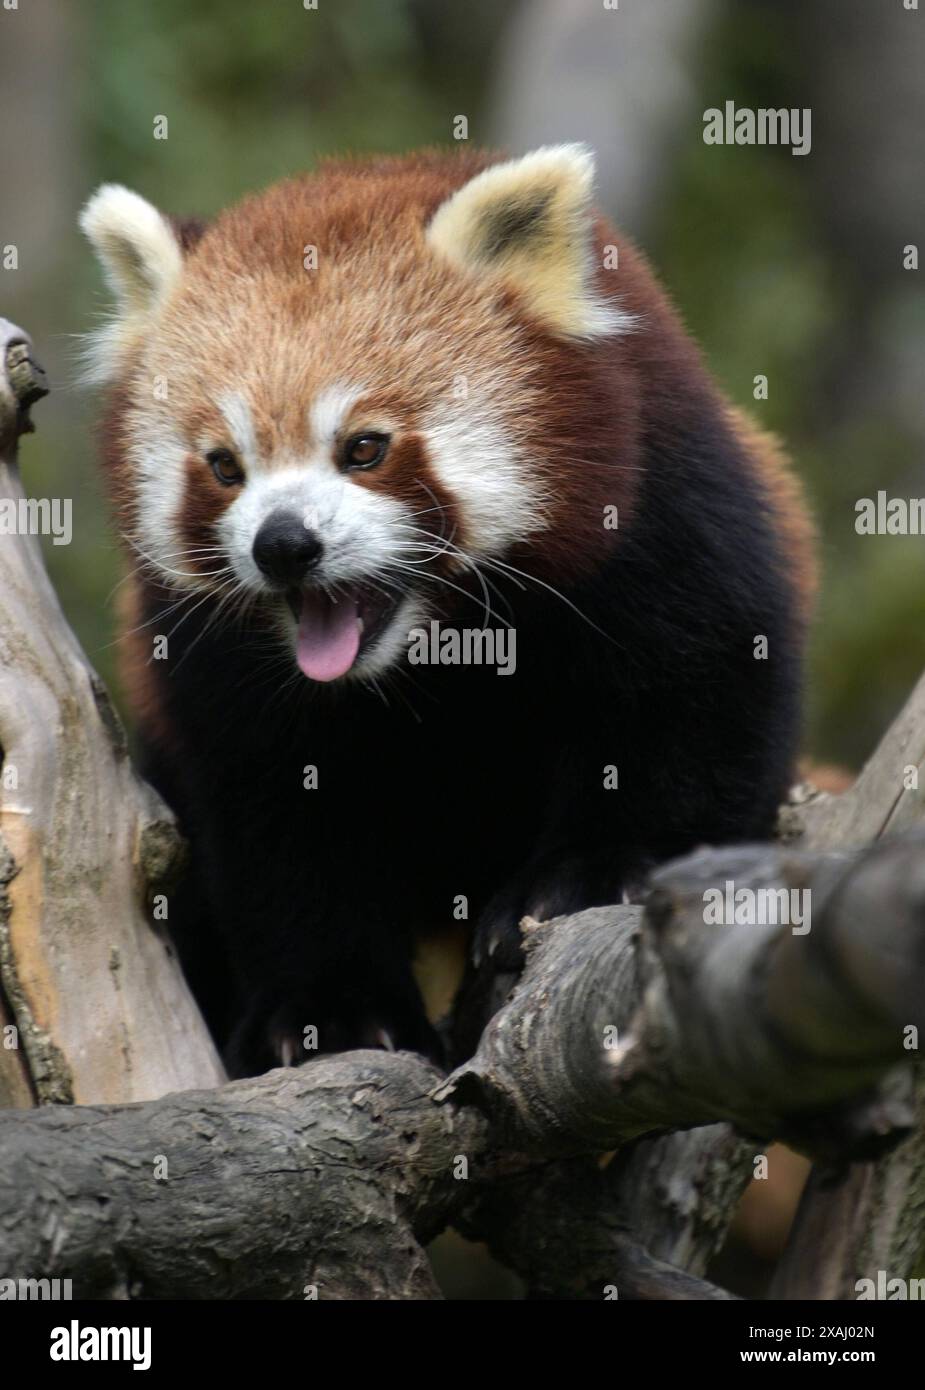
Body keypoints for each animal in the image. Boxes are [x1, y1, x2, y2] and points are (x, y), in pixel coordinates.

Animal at [81, 143, 817, 1073]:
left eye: (364, 447)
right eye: (224, 466)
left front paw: (597, 869)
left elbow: (690, 705)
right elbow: (276, 814)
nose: (282, 546)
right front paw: (330, 1007)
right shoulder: (211, 661)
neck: (434, 650)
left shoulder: (665, 513)